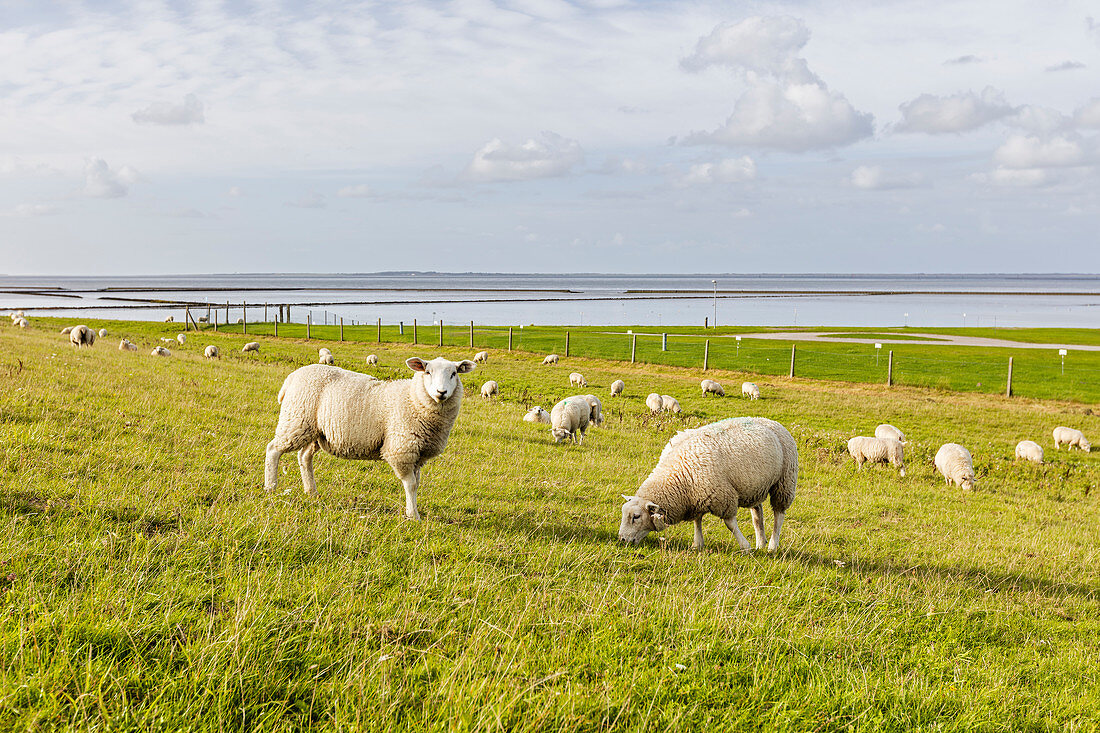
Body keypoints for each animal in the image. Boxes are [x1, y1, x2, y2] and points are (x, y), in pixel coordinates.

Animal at [265, 354, 477, 519]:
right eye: (428, 372)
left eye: (454, 373)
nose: (441, 392)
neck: (412, 398)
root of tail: (292, 377)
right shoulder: (401, 450)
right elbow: (410, 485)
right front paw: (413, 516)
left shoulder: (418, 454)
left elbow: (417, 484)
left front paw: (414, 511)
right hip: (296, 420)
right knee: (273, 450)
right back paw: (271, 488)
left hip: (316, 431)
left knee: (304, 457)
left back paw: (311, 492)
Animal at [620, 413, 800, 550]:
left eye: (636, 516)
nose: (622, 539)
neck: (678, 475)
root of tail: (771, 421)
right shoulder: (696, 496)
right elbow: (697, 521)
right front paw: (698, 544)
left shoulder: (723, 496)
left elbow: (730, 524)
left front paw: (745, 546)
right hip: (756, 486)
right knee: (757, 515)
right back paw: (760, 543)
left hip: (785, 482)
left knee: (779, 515)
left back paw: (772, 546)